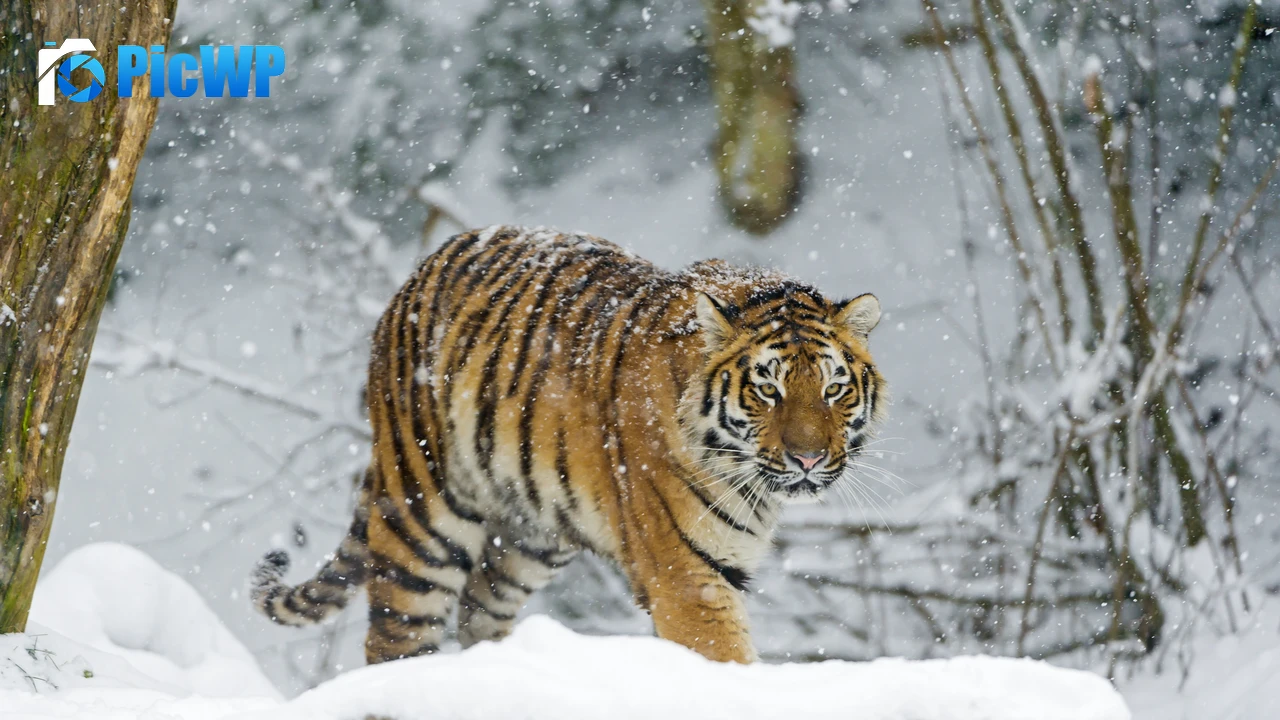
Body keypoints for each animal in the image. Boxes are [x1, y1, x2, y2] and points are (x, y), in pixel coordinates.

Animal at [251, 225, 885, 665]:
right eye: (767, 389)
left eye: (833, 389)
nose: (808, 458)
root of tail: (415, 276)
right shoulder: (688, 578)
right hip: (422, 521)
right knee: (394, 641)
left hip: (526, 540)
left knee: (479, 613)